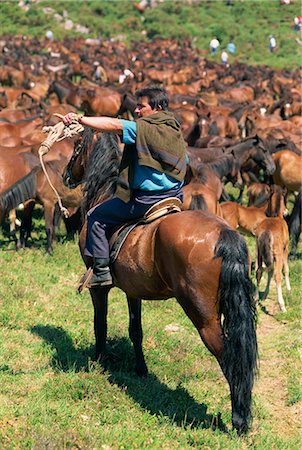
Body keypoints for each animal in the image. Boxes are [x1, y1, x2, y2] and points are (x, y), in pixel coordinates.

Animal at [60, 128, 258, 434]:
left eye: (78, 145)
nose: (66, 175)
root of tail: (224, 234)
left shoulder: (99, 289)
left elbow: (100, 324)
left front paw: (99, 362)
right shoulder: (133, 291)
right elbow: (136, 330)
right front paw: (141, 369)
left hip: (203, 316)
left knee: (229, 358)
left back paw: (239, 419)